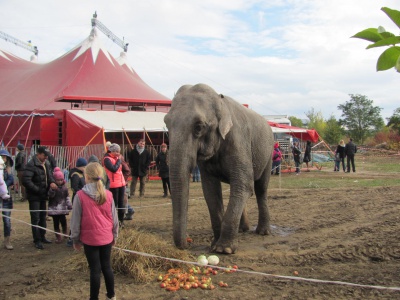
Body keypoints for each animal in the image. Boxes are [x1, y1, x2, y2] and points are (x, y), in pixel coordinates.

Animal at [163, 83, 276, 254]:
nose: (187, 244)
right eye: (166, 123)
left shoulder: (238, 142)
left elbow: (244, 184)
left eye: (198, 127)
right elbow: (210, 190)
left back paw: (263, 232)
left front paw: (224, 249)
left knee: (260, 189)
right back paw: (243, 229)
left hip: (268, 153)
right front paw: (213, 245)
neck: (220, 100)